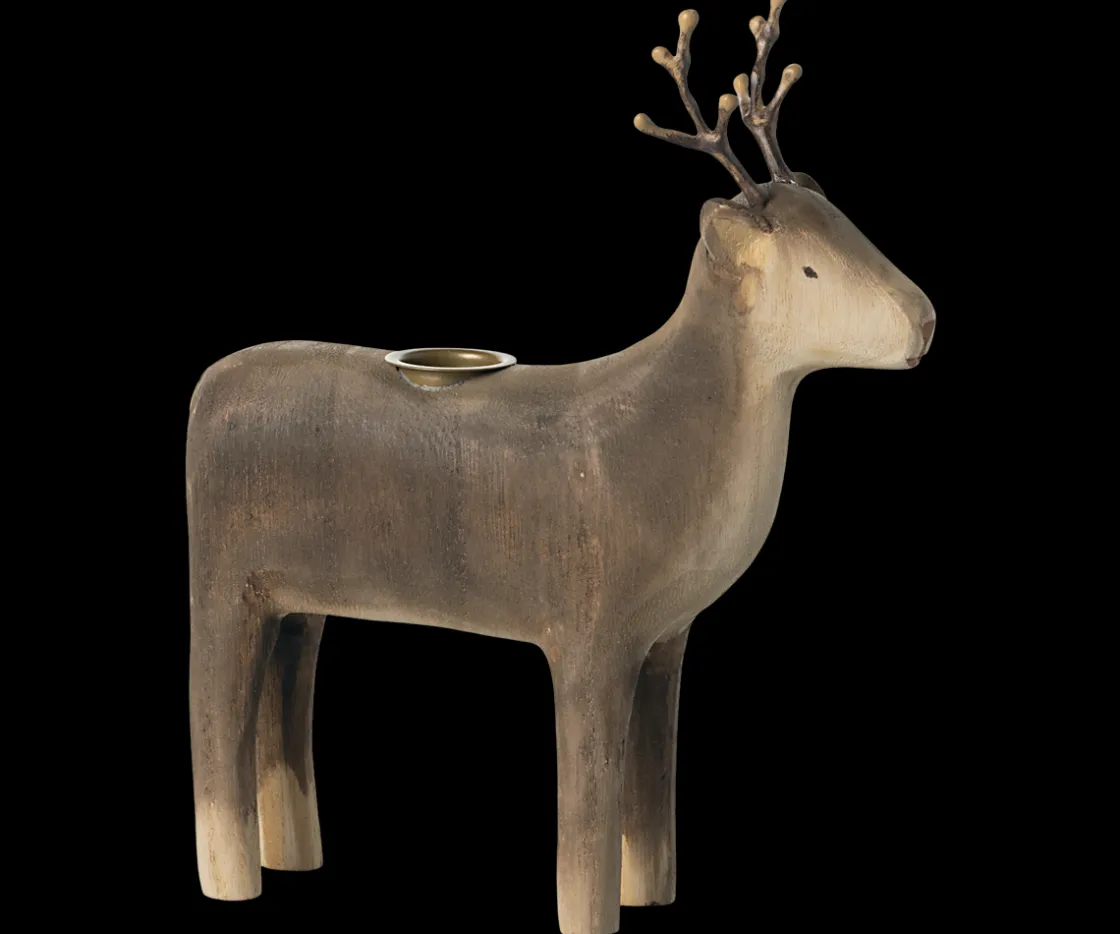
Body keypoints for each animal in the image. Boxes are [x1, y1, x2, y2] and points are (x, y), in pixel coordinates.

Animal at [186, 4, 936, 933]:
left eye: (852, 230)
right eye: (808, 267)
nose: (925, 322)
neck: (675, 443)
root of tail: (205, 391)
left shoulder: (666, 634)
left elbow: (650, 793)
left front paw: (650, 894)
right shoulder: (589, 626)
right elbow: (587, 811)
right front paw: (591, 916)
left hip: (296, 598)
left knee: (280, 698)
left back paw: (294, 857)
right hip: (225, 584)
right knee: (213, 722)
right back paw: (232, 880)